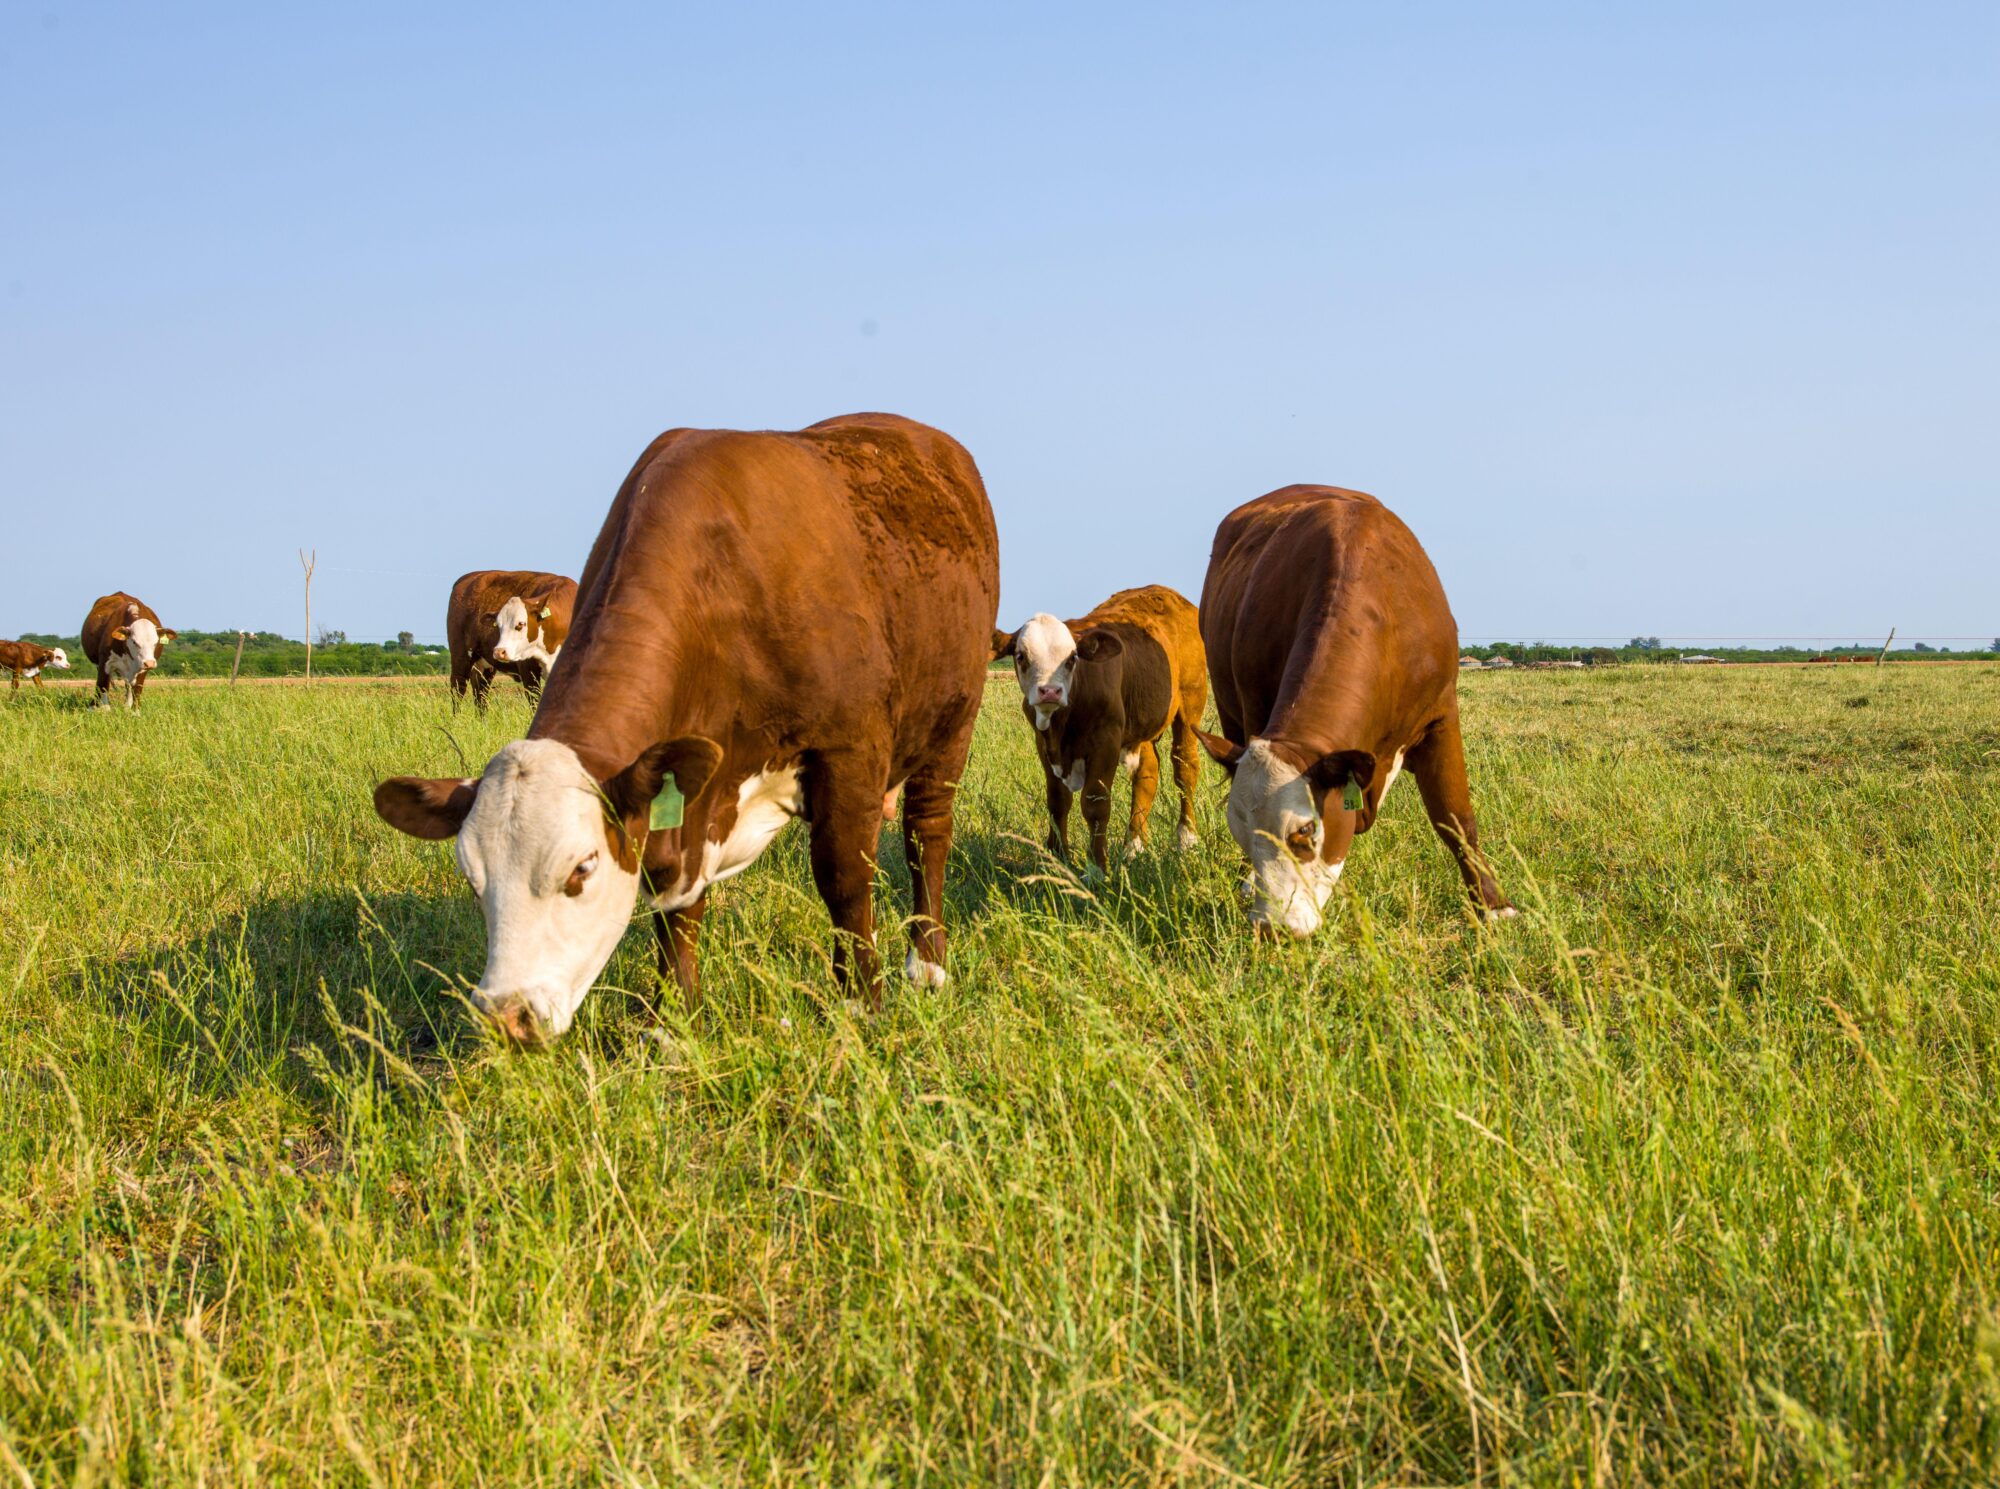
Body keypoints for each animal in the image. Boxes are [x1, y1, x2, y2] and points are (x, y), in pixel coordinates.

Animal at [446, 568, 580, 708]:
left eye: (521, 624)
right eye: (498, 625)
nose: (499, 651)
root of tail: (470, 576)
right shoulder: (528, 670)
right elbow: (534, 702)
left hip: (484, 665)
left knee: (480, 693)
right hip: (460, 656)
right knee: (458, 689)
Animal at [992, 584, 1208, 872]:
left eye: (1072, 658)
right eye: (1020, 656)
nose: (1050, 691)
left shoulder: (1106, 741)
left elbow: (1095, 804)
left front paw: (1097, 868)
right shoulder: (1043, 742)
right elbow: (1057, 802)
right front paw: (1058, 859)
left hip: (1190, 704)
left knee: (1185, 766)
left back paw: (1187, 840)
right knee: (1147, 773)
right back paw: (1133, 847)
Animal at [1192, 482, 1504, 936]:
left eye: (1305, 830)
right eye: (1242, 832)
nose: (1271, 928)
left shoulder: (1441, 715)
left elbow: (1456, 818)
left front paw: (1494, 908)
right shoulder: (1254, 709)